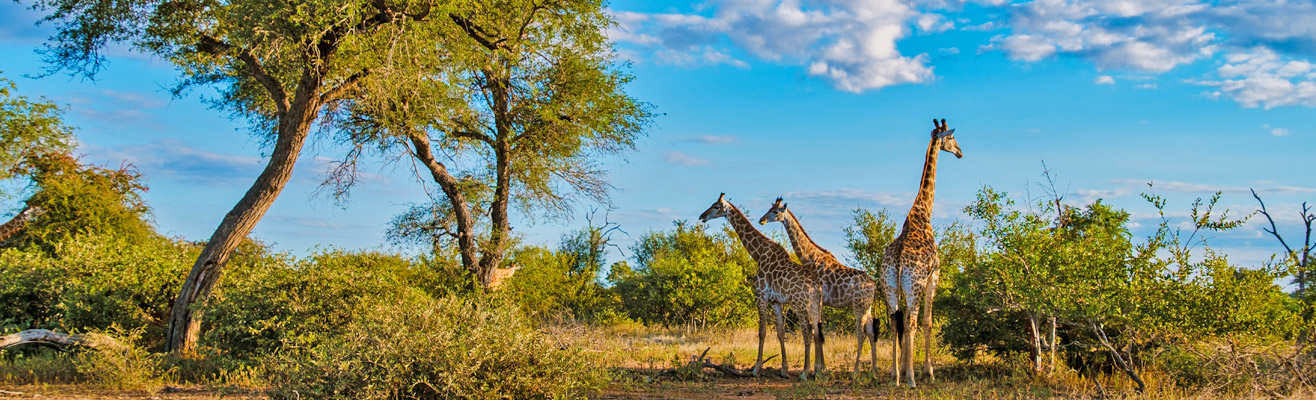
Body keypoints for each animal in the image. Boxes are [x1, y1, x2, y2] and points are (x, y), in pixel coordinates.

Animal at [700, 193, 821, 381]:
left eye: (716, 207)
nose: (702, 217)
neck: (758, 254)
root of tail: (815, 285)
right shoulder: (776, 301)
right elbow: (780, 332)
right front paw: (784, 370)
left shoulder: (761, 296)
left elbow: (762, 332)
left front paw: (756, 369)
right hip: (815, 304)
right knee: (816, 331)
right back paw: (817, 371)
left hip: (800, 304)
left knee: (807, 331)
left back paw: (804, 372)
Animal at [758, 198, 879, 378]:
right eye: (769, 208)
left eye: (776, 211)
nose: (762, 220)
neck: (810, 257)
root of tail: (874, 285)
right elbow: (818, 332)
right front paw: (821, 368)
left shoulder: (818, 299)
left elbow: (816, 332)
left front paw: (817, 369)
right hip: (867, 307)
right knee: (870, 332)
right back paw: (874, 370)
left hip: (858, 306)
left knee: (861, 333)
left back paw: (856, 371)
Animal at [879, 117, 963, 386]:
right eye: (952, 137)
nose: (960, 152)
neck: (923, 212)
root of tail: (896, 263)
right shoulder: (934, 276)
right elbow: (928, 322)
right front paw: (928, 371)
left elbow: (902, 323)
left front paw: (903, 369)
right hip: (914, 286)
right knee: (913, 322)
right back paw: (912, 379)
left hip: (890, 287)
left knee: (895, 322)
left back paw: (895, 376)